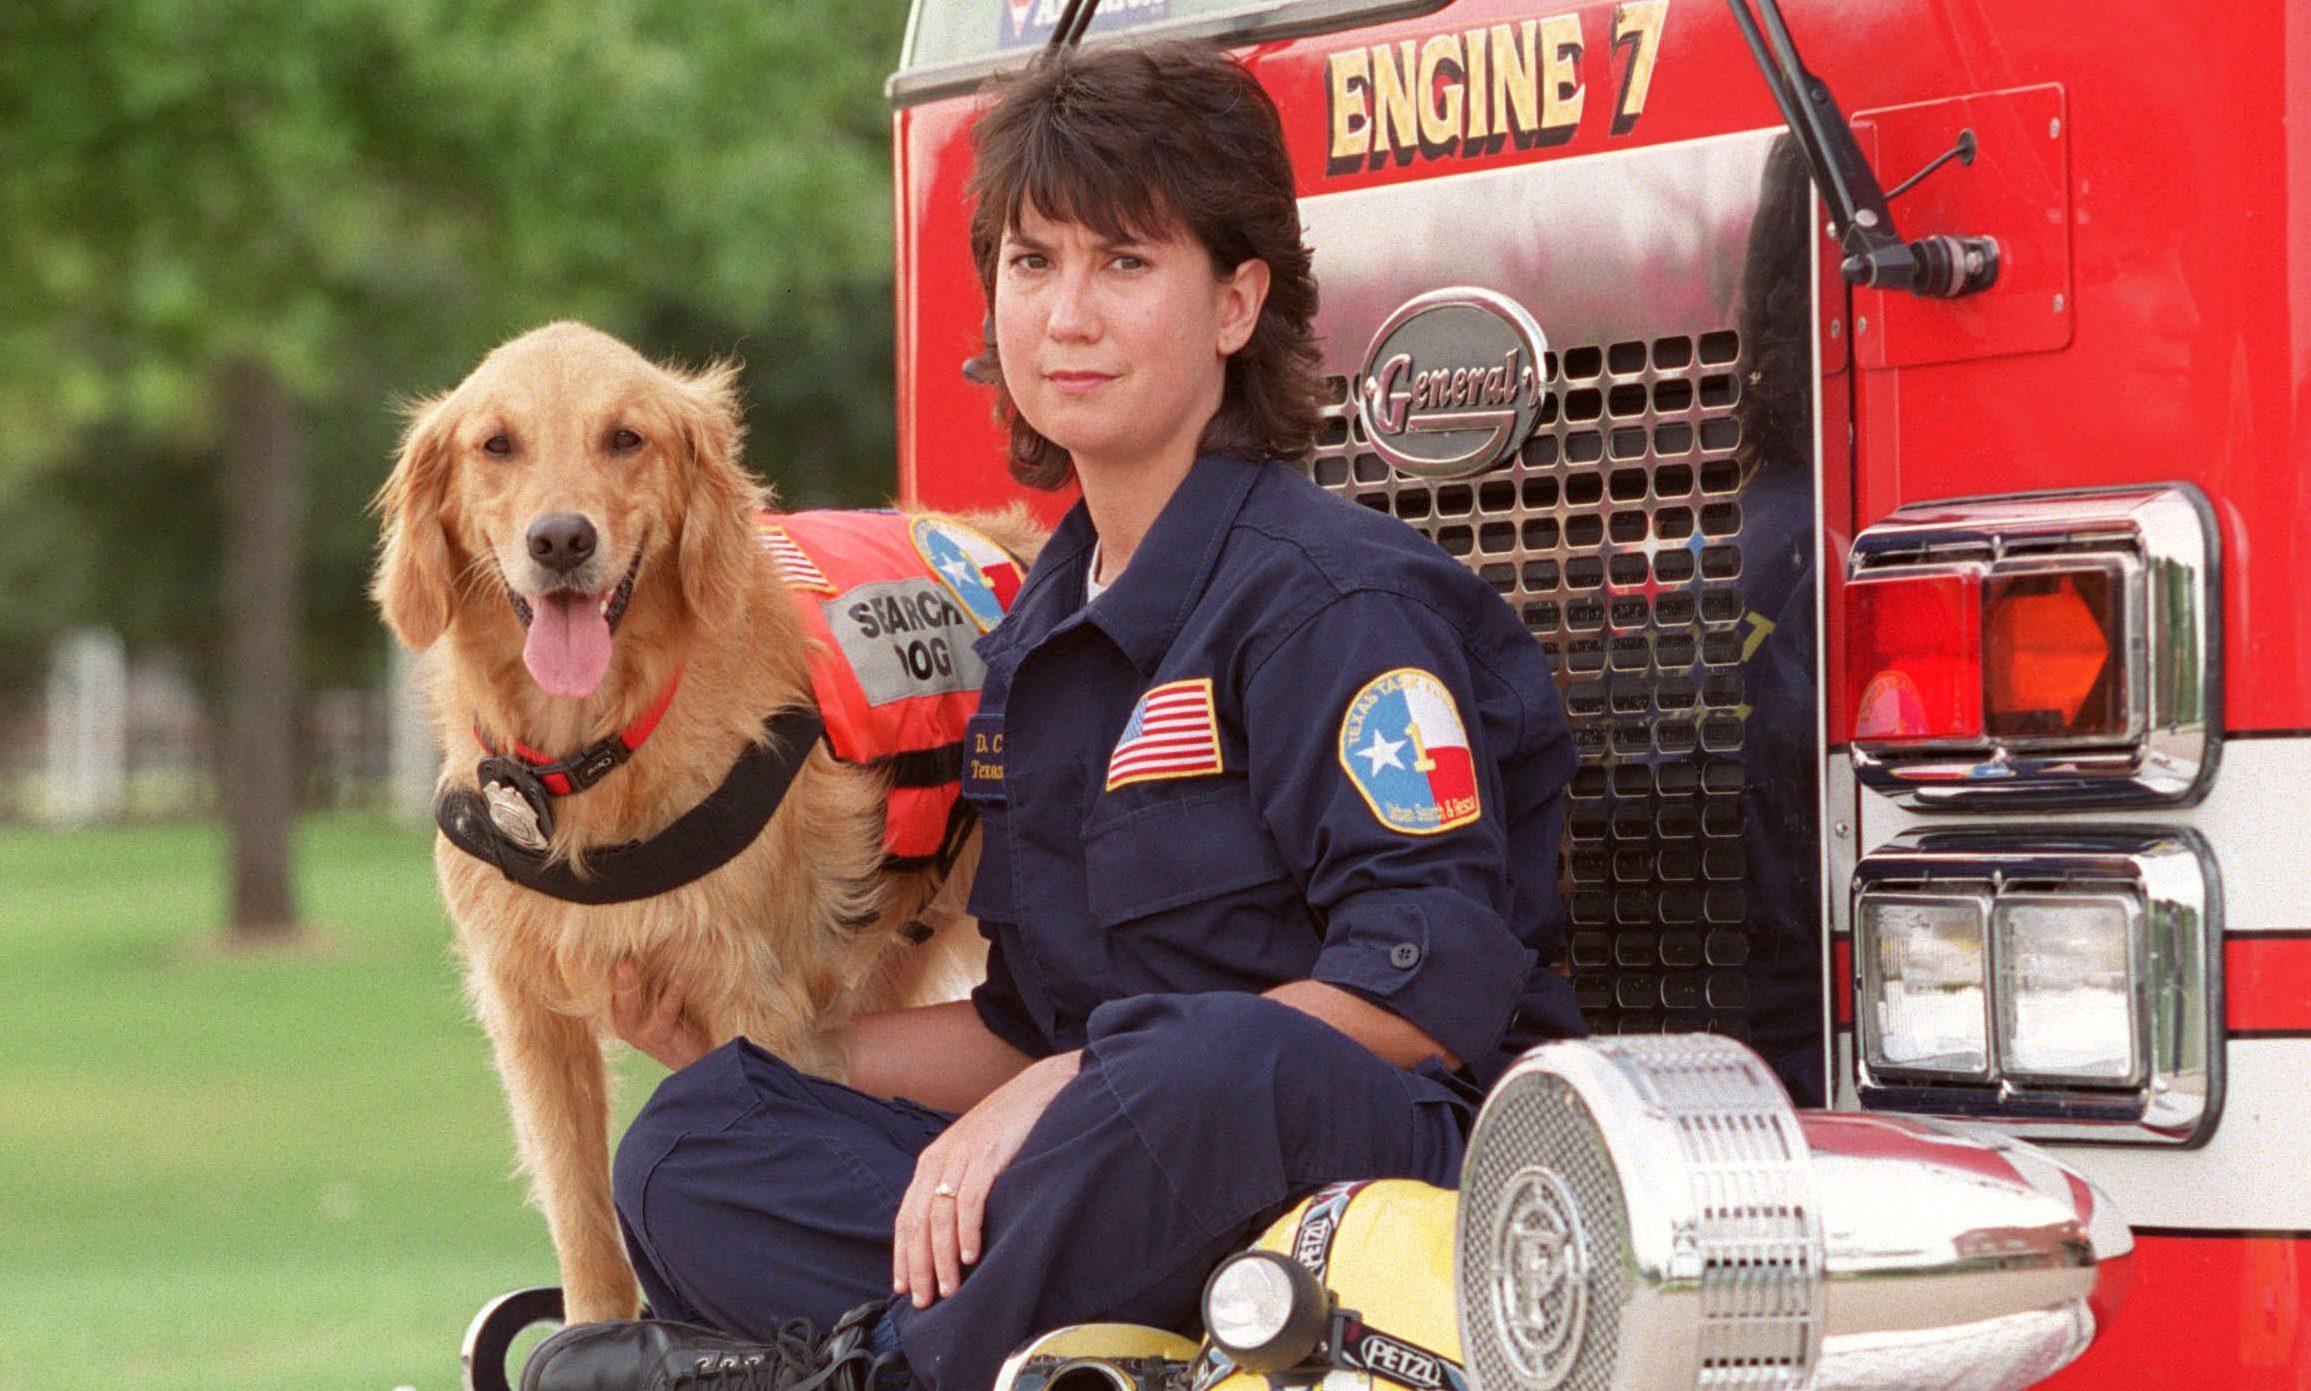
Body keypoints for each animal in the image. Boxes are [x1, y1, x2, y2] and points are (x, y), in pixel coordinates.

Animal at [376, 318, 1039, 1312]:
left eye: (625, 437)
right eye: (496, 444)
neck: (596, 750)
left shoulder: (753, 1002)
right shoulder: (529, 1012)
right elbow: (584, 1228)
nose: (561, 539)